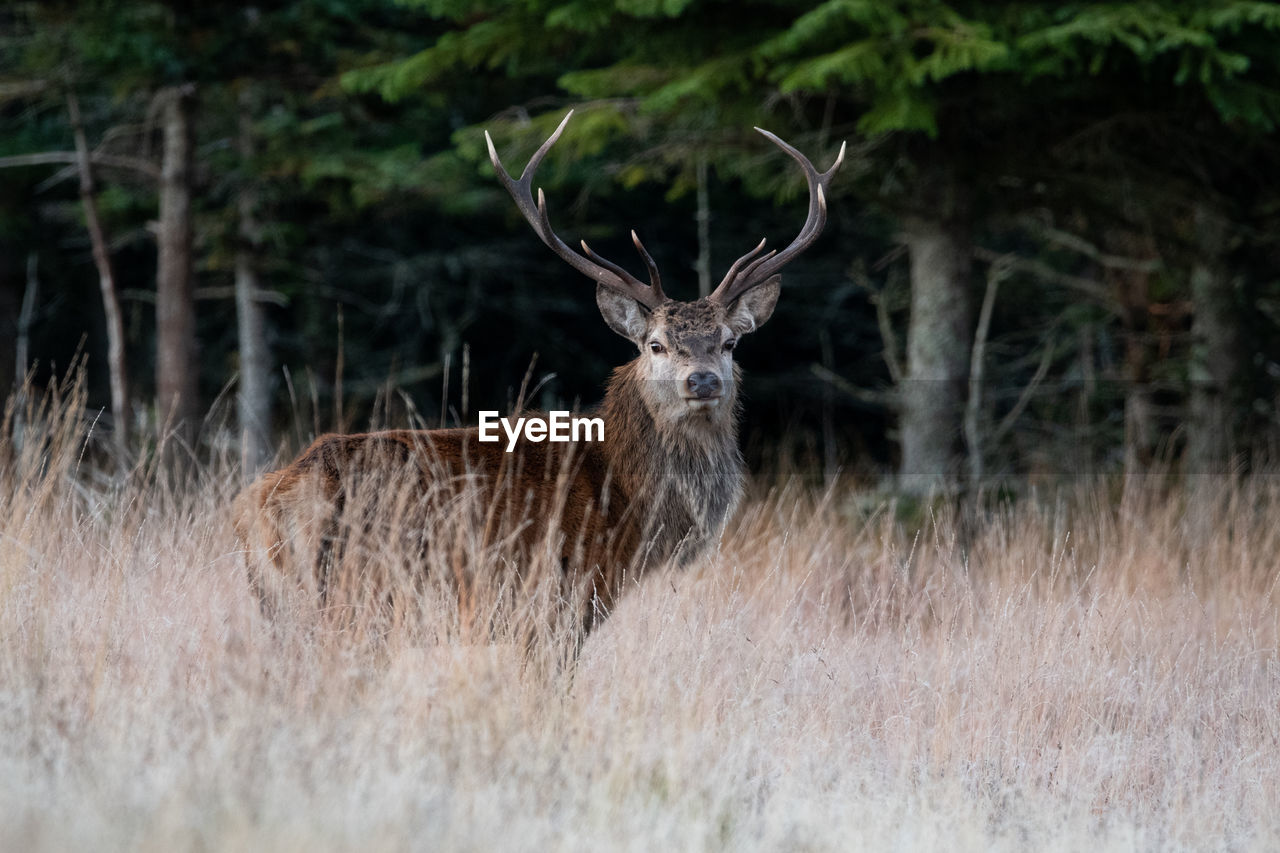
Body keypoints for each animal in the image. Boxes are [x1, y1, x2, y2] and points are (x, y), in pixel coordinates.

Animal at [235, 111, 844, 630]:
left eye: (730, 343)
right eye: (655, 345)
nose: (703, 381)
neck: (626, 499)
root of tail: (263, 502)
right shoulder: (558, 599)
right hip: (352, 591)